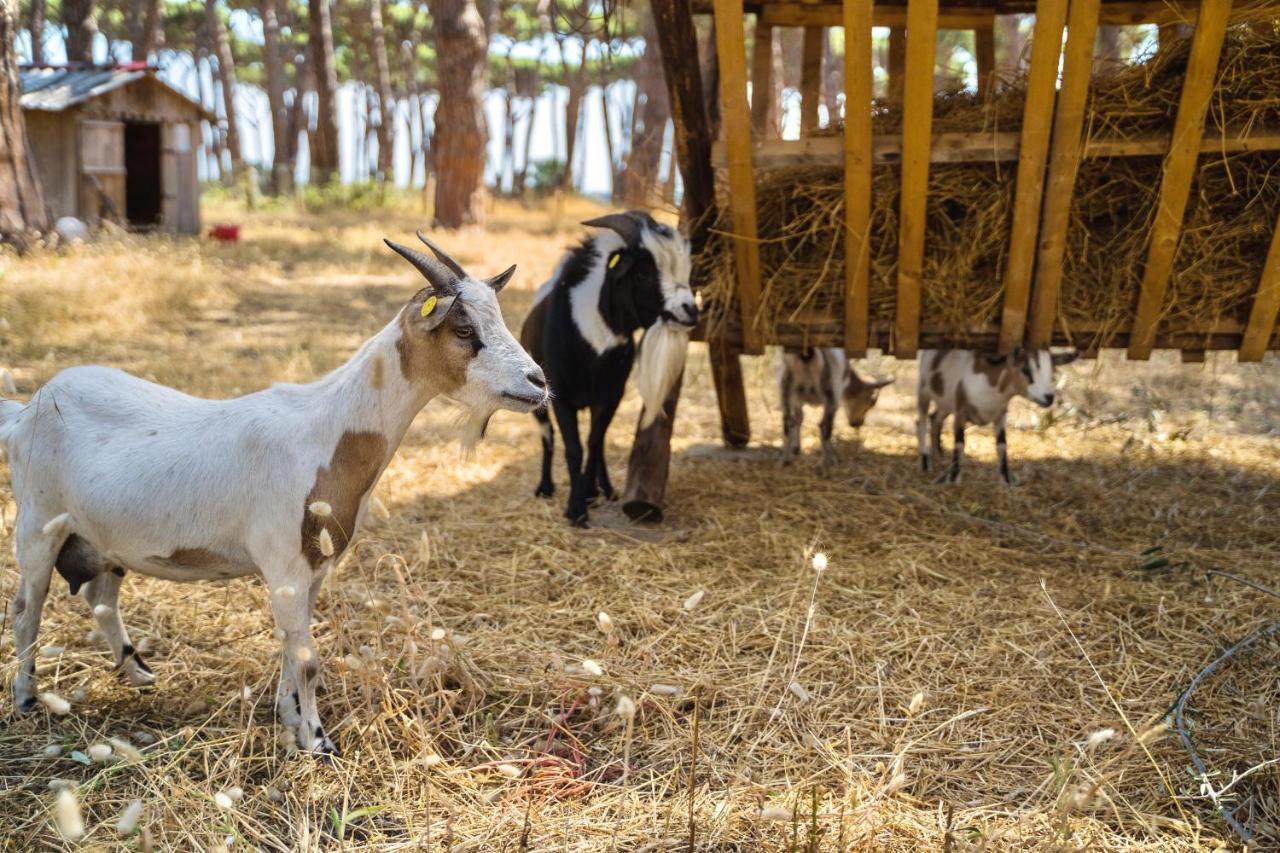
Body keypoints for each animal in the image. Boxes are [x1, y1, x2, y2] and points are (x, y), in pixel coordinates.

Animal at [519, 211, 696, 525]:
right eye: (644, 272)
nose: (690, 311)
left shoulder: (610, 396)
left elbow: (594, 443)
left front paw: (588, 493)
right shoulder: (561, 398)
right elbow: (574, 449)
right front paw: (576, 510)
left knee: (597, 442)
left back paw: (604, 489)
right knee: (547, 436)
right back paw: (546, 487)